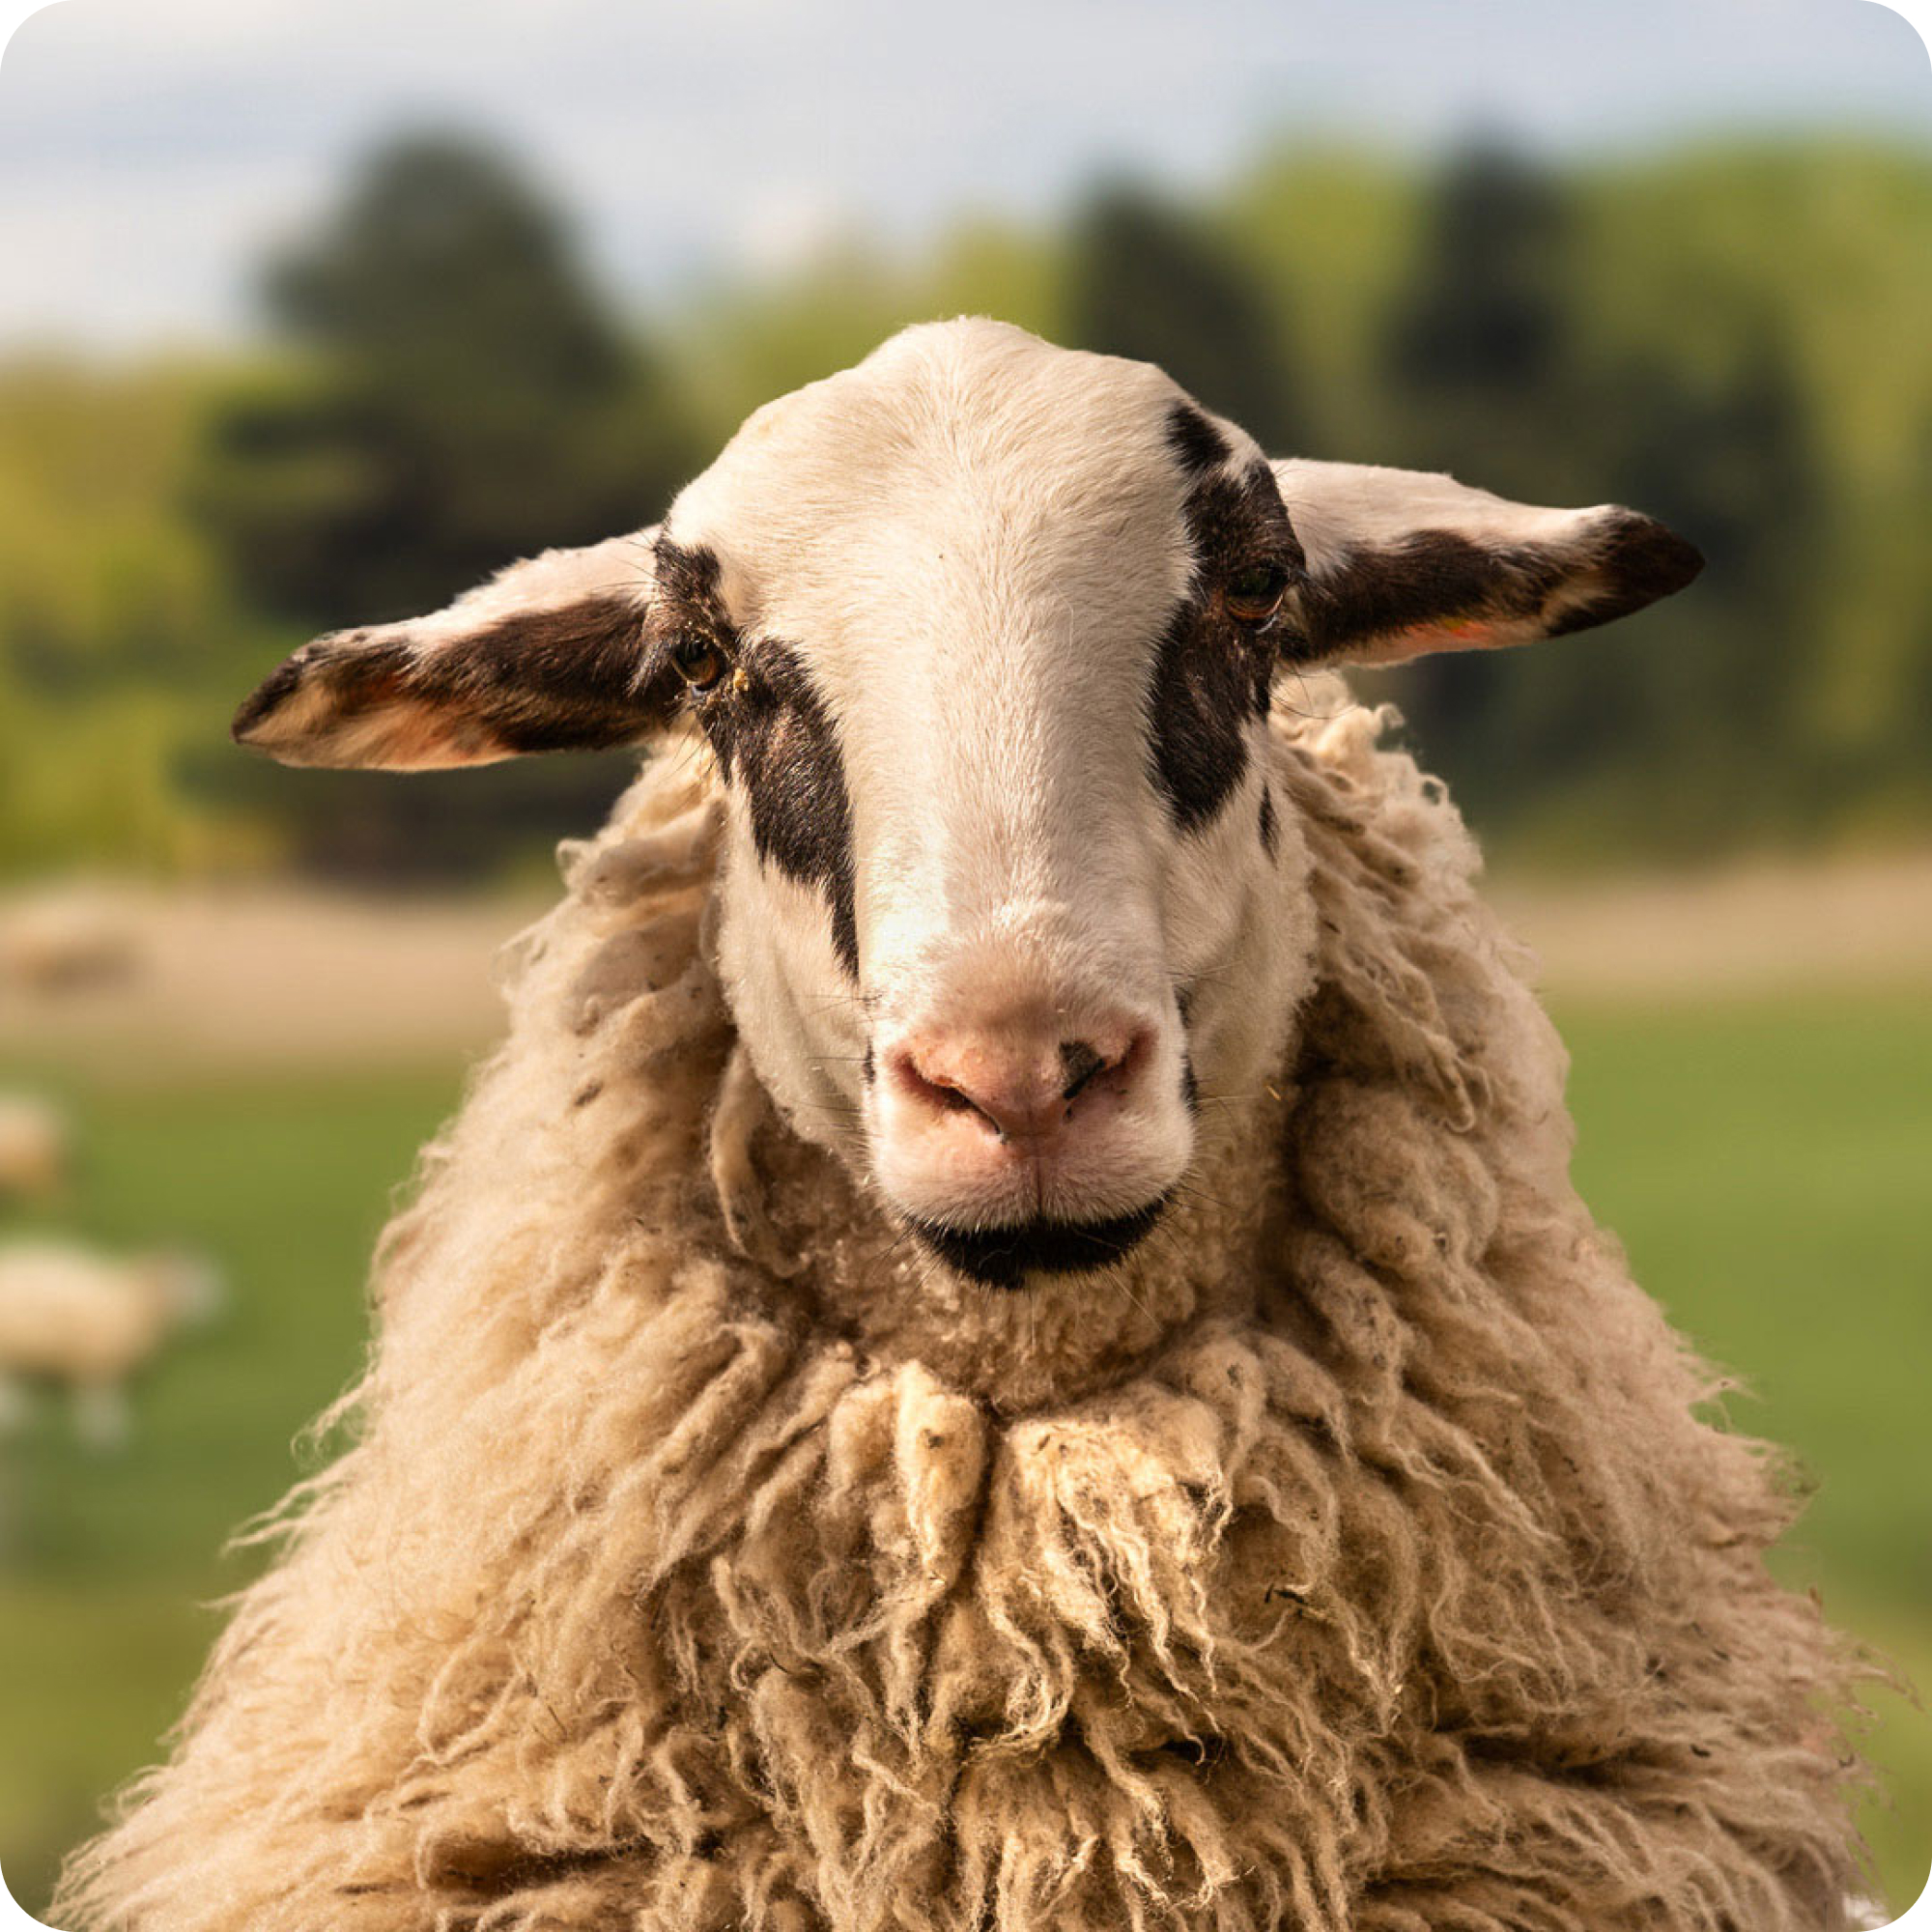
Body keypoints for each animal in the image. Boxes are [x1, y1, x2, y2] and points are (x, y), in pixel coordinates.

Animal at [0, 1236, 220, 1453]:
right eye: (188, 1277)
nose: (218, 1301)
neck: (135, 1301)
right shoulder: (98, 1366)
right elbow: (102, 1414)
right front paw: (105, 1446)